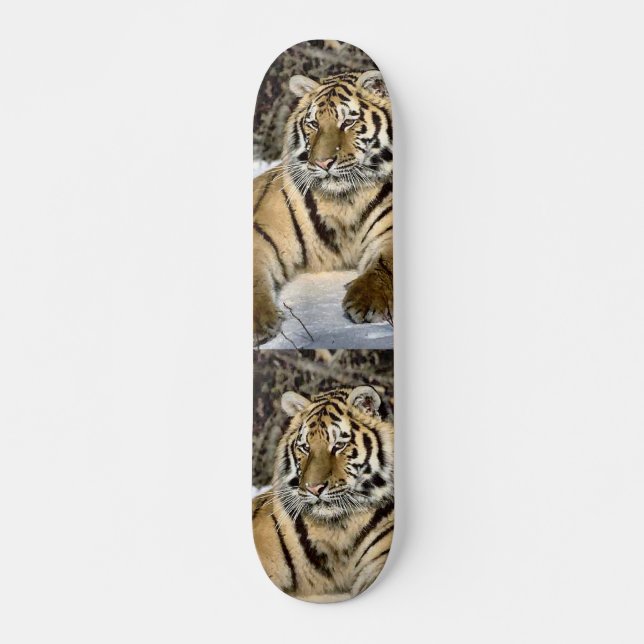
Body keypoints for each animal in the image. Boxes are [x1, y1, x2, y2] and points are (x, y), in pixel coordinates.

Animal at [253, 70, 393, 345]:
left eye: (348, 122)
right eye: (314, 124)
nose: (322, 162)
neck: (343, 200)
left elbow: (385, 265)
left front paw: (365, 300)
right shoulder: (263, 230)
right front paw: (259, 325)